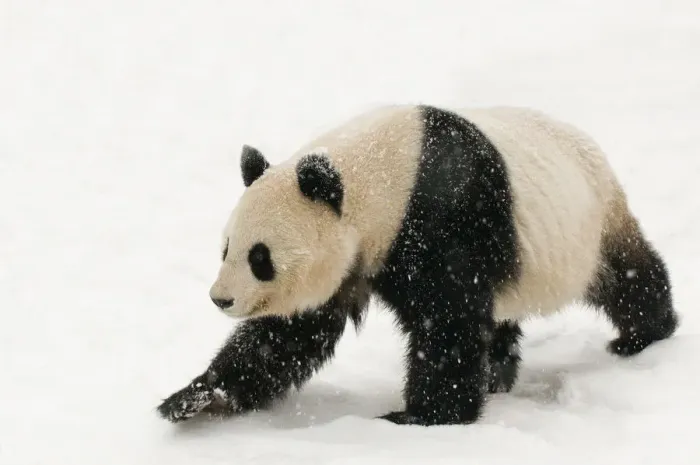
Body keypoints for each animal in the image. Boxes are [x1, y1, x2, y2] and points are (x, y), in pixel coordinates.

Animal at [157, 104, 678, 426]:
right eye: (226, 248)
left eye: (260, 257)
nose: (221, 299)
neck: (376, 176)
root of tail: (588, 140)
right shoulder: (354, 256)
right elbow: (288, 333)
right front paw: (194, 398)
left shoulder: (440, 215)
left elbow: (445, 322)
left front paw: (420, 417)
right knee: (501, 315)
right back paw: (497, 376)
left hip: (590, 223)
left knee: (627, 277)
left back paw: (644, 335)